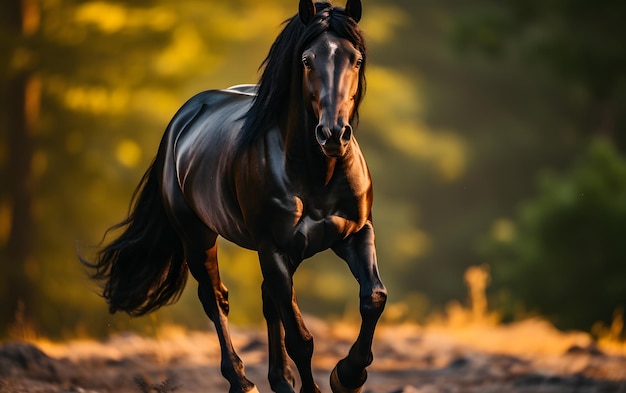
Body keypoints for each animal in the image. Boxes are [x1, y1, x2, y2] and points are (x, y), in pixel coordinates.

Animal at [84, 1, 386, 390]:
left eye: (356, 59)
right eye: (307, 60)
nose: (333, 134)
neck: (317, 174)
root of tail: (182, 120)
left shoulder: (356, 234)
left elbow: (373, 298)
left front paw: (348, 375)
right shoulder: (273, 248)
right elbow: (300, 338)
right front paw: (327, 380)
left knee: (268, 301)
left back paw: (280, 380)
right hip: (198, 238)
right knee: (216, 299)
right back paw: (242, 379)